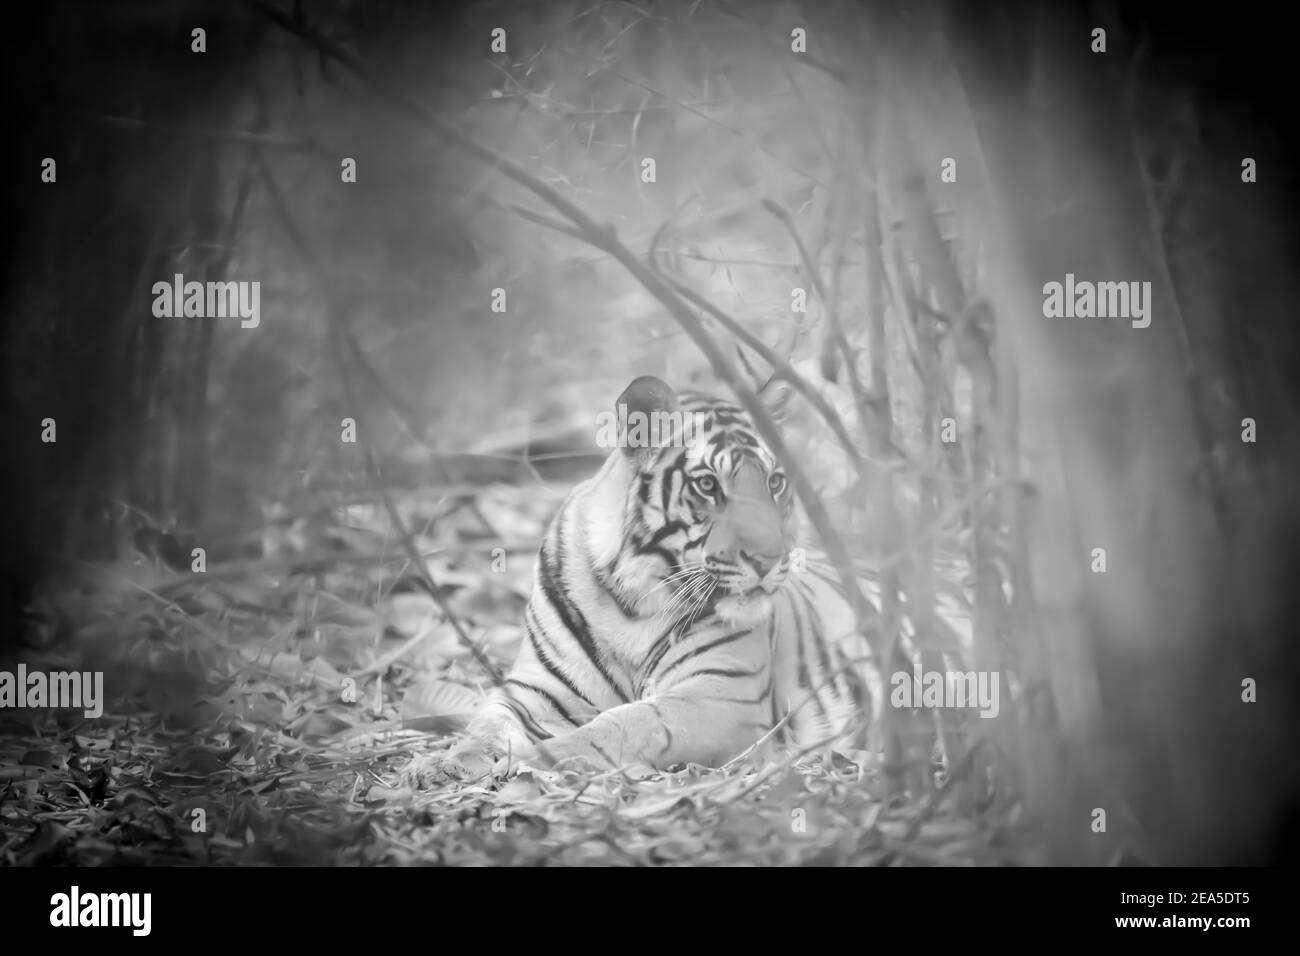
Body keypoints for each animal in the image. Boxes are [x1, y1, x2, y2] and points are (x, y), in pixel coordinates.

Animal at [403, 377, 894, 790]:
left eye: (775, 482)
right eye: (707, 485)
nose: (770, 559)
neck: (631, 599)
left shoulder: (719, 695)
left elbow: (621, 725)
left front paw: (536, 759)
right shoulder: (537, 689)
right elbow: (486, 722)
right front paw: (440, 764)